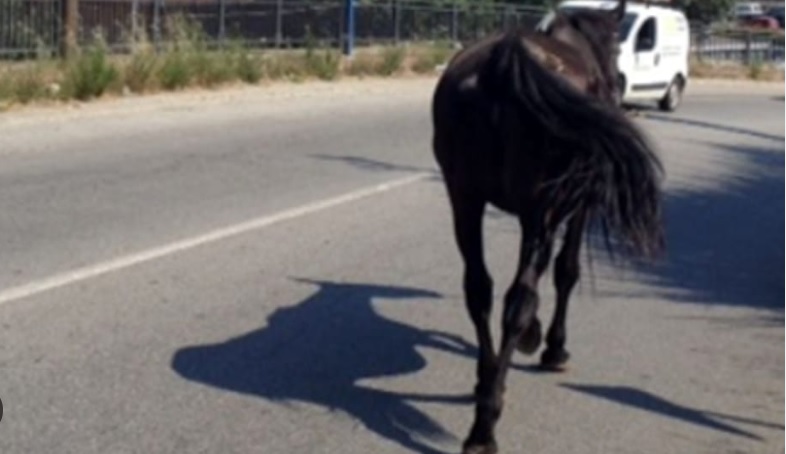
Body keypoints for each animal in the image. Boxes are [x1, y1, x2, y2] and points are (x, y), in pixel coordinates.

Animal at [430, 1, 665, 453]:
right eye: (615, 44)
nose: (618, 85)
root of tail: (503, 65)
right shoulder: (576, 207)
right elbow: (565, 271)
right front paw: (551, 344)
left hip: (463, 198)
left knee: (479, 290)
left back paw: (486, 383)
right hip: (542, 207)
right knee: (518, 299)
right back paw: (486, 423)